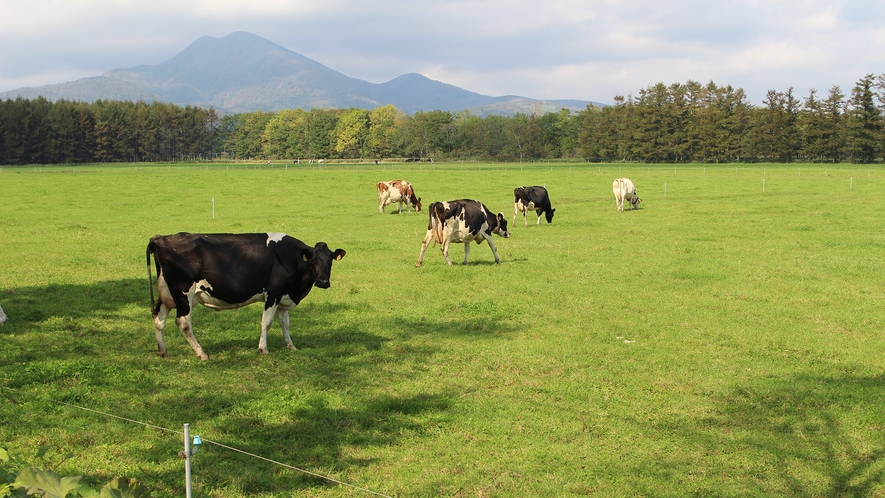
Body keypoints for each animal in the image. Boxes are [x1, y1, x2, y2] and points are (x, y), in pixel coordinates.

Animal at [147, 231, 344, 360]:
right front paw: (263, 349)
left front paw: (290, 346)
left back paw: (163, 351)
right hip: (183, 294)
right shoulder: (273, 293)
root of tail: (160, 238)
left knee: (159, 318)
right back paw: (202, 354)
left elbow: (285, 323)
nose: (323, 281)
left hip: (166, 294)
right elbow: (267, 322)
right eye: (313, 261)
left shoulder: (283, 296)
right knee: (183, 323)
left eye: (329, 261)